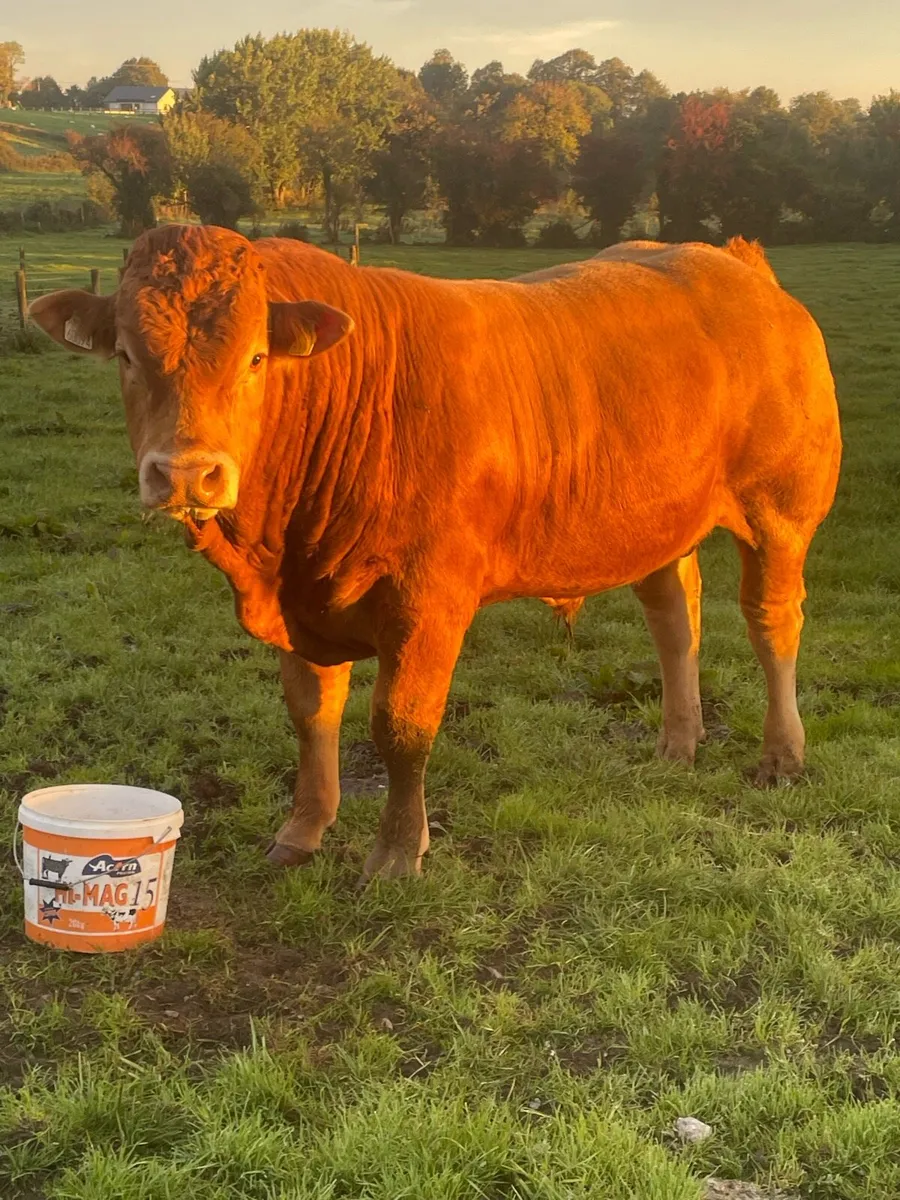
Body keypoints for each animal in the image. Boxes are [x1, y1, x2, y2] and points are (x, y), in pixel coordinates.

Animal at [29, 226, 842, 884]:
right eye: (126, 356)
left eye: (257, 357)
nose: (187, 472)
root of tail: (733, 263)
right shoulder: (301, 602)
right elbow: (311, 713)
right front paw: (304, 828)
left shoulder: (428, 600)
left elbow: (401, 727)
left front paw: (396, 853)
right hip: (658, 520)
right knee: (676, 619)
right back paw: (679, 742)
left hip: (780, 511)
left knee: (772, 623)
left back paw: (782, 755)